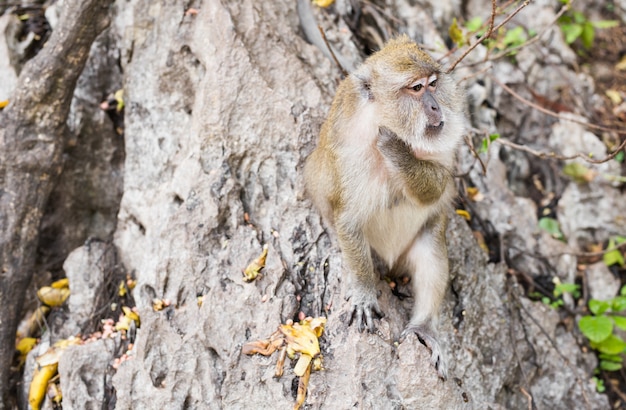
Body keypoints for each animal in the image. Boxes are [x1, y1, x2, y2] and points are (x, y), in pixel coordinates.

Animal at [302, 35, 464, 382]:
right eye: (416, 88)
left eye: (433, 83)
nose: (435, 106)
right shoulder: (350, 154)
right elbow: (348, 220)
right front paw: (364, 290)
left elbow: (437, 187)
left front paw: (398, 151)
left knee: (431, 247)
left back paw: (423, 327)